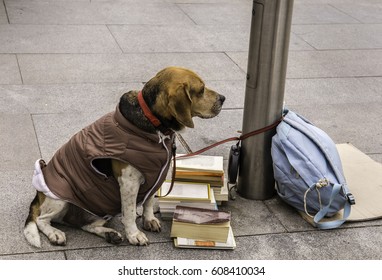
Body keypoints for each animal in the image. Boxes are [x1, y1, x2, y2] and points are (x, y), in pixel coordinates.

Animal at [23, 67, 225, 247]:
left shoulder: (155, 177)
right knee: (41, 219)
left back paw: (110, 234)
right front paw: (134, 234)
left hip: (98, 210)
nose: (223, 98)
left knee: (86, 225)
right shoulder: (129, 183)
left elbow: (148, 202)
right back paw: (55, 234)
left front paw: (148, 219)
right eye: (200, 90)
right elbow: (129, 213)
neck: (155, 126)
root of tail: (37, 196)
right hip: (60, 197)